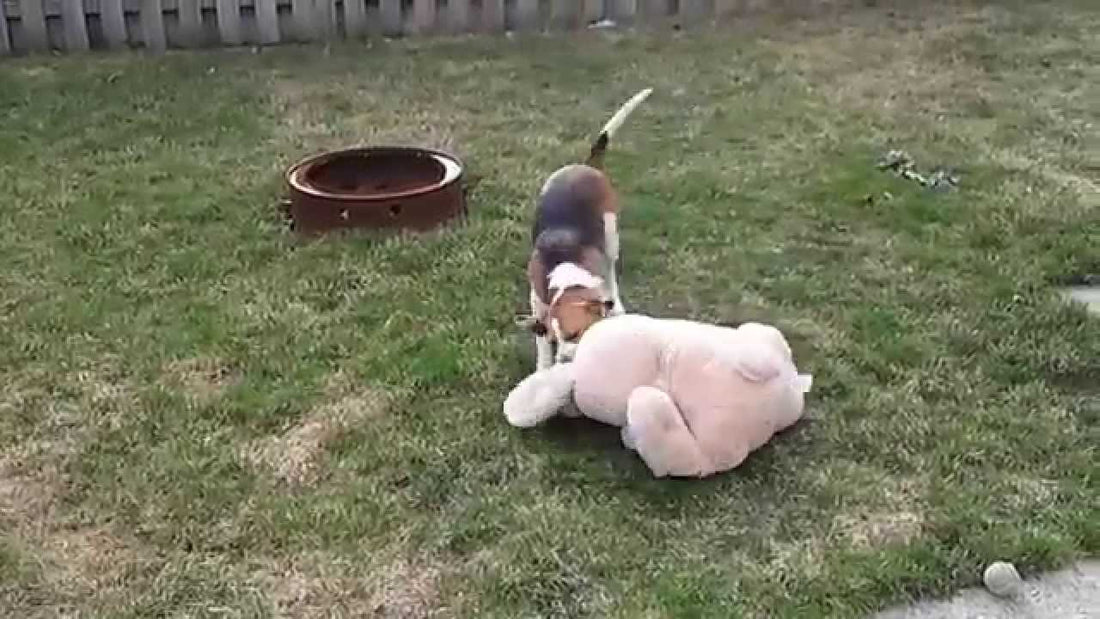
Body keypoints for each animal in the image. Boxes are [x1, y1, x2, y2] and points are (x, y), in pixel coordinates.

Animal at [525, 87, 651, 367]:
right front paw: (544, 366)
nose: (564, 360)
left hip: (611, 234)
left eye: (575, 333)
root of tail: (586, 165)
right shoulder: (537, 302)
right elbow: (540, 344)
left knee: (612, 268)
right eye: (555, 338)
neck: (566, 270)